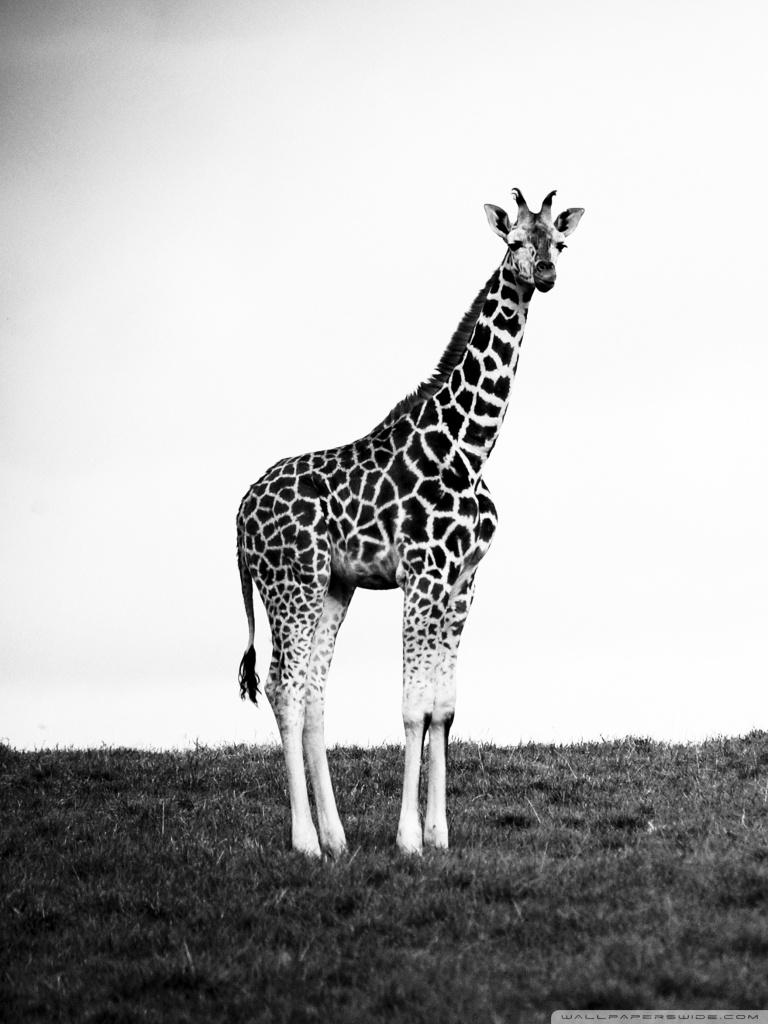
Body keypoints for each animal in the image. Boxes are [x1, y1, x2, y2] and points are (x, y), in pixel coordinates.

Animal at [236, 188, 584, 857]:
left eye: (559, 241)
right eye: (513, 241)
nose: (547, 275)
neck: (470, 447)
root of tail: (238, 518)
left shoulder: (463, 579)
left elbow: (443, 707)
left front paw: (439, 834)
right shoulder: (423, 574)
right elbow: (411, 706)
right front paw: (408, 839)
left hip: (331, 586)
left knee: (313, 690)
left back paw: (337, 838)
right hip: (291, 583)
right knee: (284, 688)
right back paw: (305, 841)